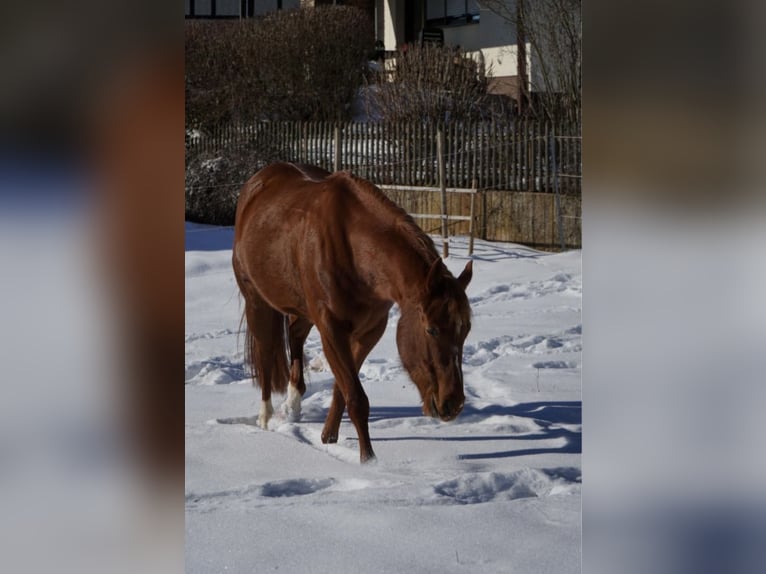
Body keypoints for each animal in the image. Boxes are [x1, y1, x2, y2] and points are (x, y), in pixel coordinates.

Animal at [232, 162, 473, 463]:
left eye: (466, 330)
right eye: (432, 329)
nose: (454, 404)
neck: (355, 251)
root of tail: (257, 183)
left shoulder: (369, 331)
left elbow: (342, 389)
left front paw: (329, 437)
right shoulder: (331, 329)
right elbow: (356, 398)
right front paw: (368, 460)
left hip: (302, 309)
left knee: (295, 336)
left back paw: (294, 401)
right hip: (256, 300)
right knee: (265, 354)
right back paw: (265, 417)